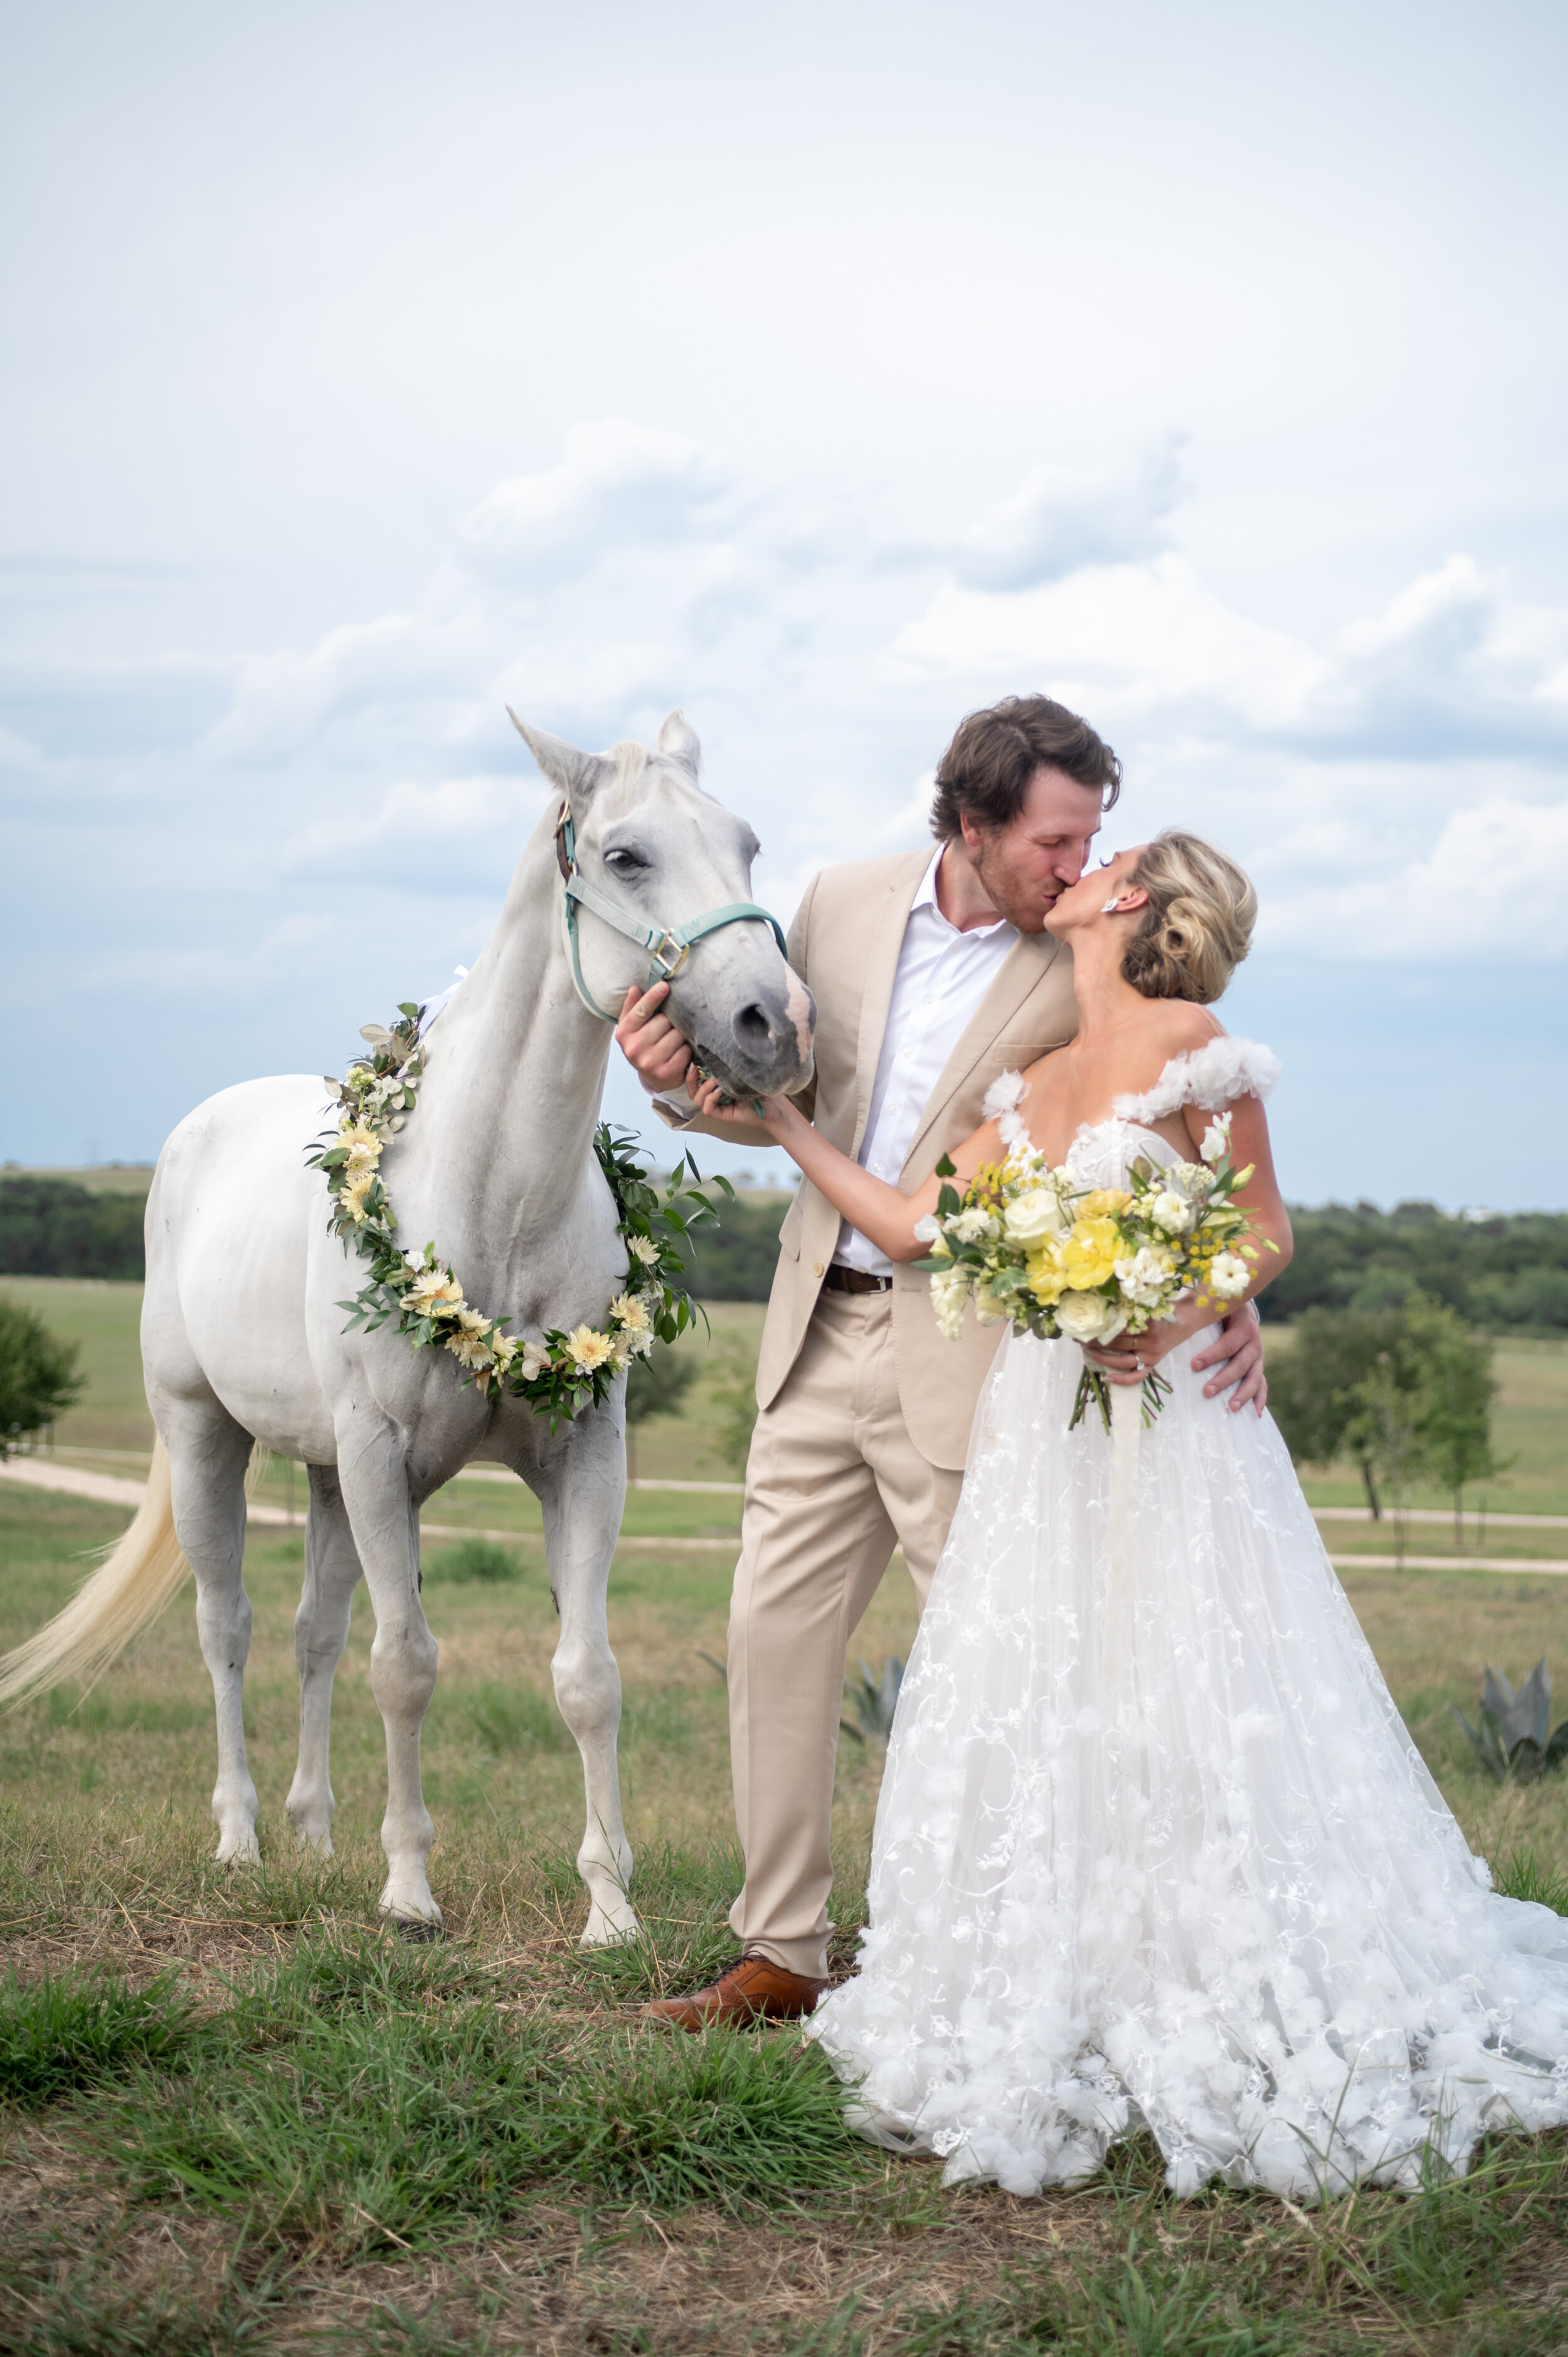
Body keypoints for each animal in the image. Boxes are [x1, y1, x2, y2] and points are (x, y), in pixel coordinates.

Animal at [0, 711, 806, 1932]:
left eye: (748, 842)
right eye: (625, 855)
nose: (776, 1024)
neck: (497, 1199)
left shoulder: (582, 1457)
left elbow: (586, 1674)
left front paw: (608, 1907)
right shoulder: (381, 1457)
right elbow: (408, 1665)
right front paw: (410, 1890)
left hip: (329, 1478)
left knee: (312, 1633)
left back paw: (315, 1834)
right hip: (206, 1438)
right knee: (230, 1628)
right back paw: (242, 1838)